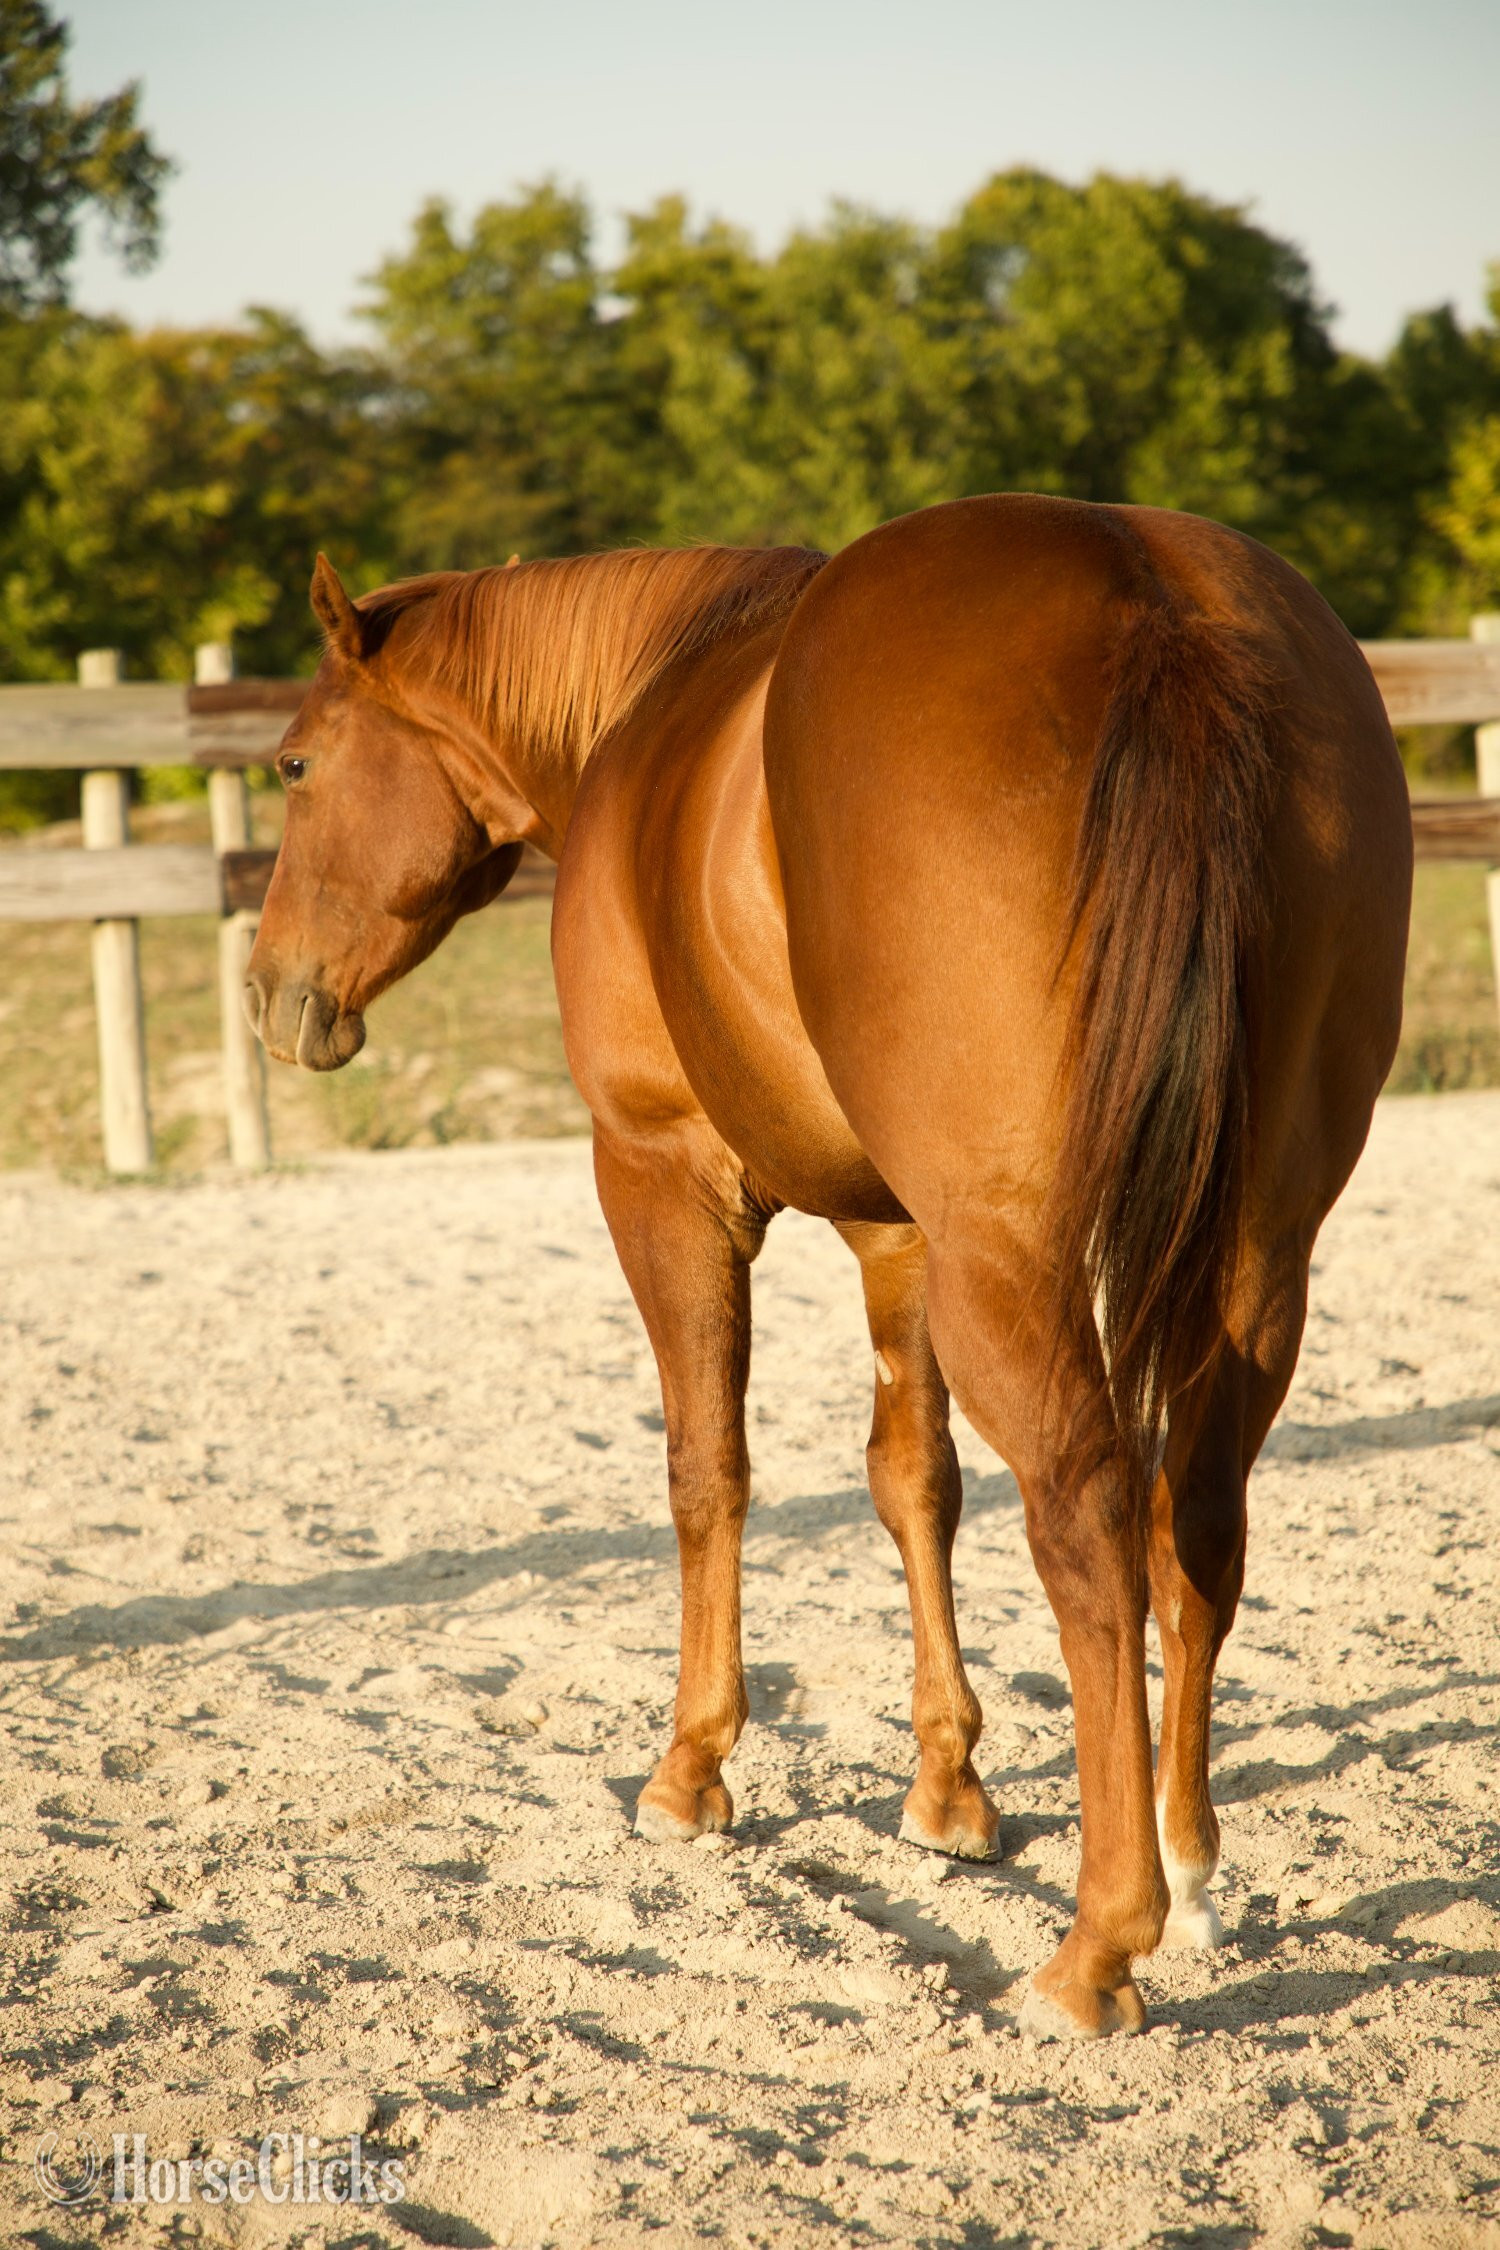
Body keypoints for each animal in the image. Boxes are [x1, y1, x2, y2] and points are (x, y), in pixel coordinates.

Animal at [245, 496, 1411, 2039]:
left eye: (296, 763)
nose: (272, 994)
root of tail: (1154, 596)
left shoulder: (662, 1177)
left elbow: (708, 1468)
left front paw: (690, 1769)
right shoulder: (896, 1232)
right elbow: (915, 1481)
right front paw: (949, 1789)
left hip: (1016, 1264)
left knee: (1094, 1525)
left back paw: (1102, 1942)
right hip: (1260, 1256)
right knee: (1199, 1519)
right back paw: (1193, 1863)